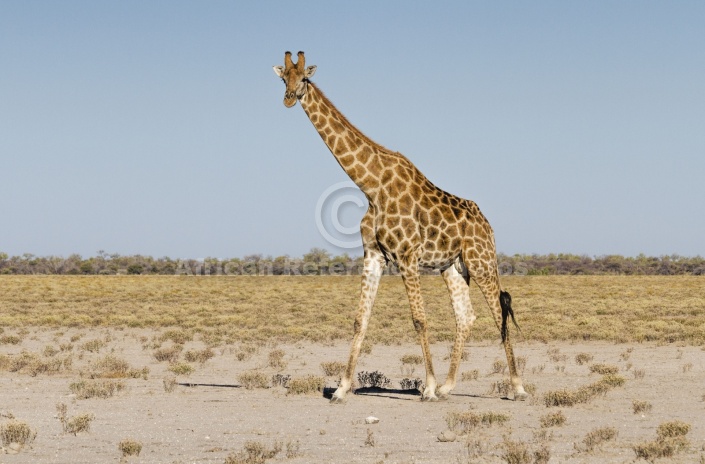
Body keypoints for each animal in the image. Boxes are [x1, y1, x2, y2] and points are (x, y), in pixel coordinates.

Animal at [272, 50, 524, 402]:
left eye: (305, 78)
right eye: (284, 78)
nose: (289, 98)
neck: (372, 186)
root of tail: (488, 225)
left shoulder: (407, 256)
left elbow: (419, 320)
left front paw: (427, 388)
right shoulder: (374, 255)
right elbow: (360, 320)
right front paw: (342, 389)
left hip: (482, 261)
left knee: (499, 313)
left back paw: (517, 387)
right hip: (453, 267)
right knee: (465, 316)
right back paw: (449, 386)